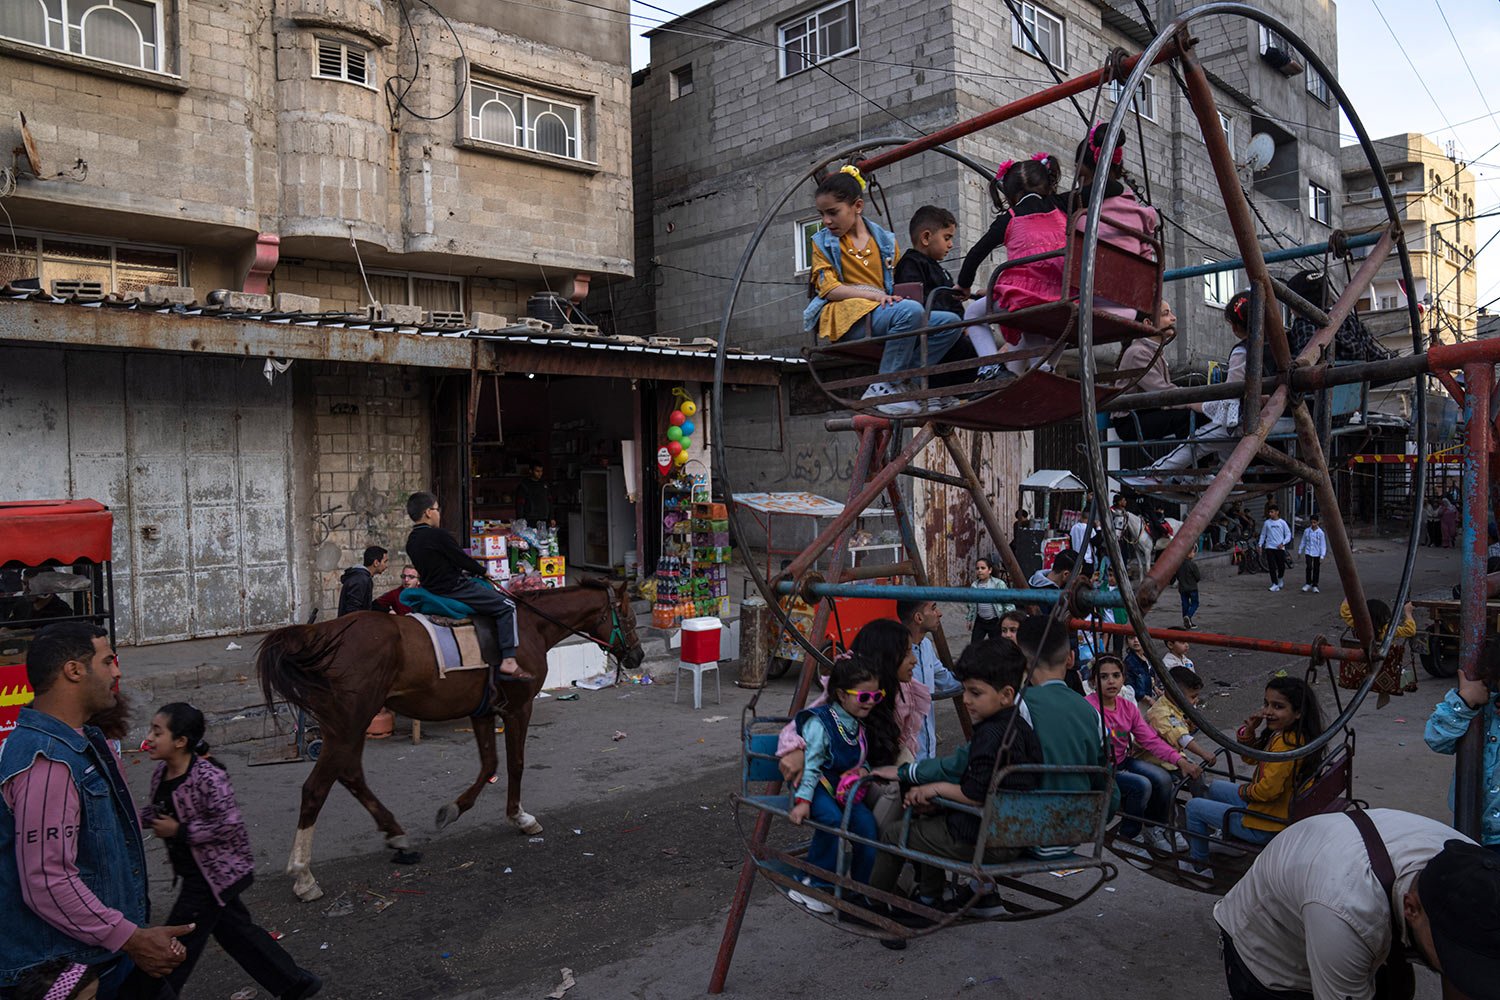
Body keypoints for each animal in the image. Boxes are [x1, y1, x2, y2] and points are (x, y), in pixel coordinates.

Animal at [259, 578, 645, 899]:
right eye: (627, 617)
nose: (638, 655)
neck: (529, 626)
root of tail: (320, 633)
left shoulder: (483, 710)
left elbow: (489, 764)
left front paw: (454, 809)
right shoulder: (519, 708)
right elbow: (516, 763)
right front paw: (520, 817)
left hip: (348, 725)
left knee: (351, 775)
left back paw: (395, 833)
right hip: (349, 723)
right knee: (316, 788)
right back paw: (303, 875)